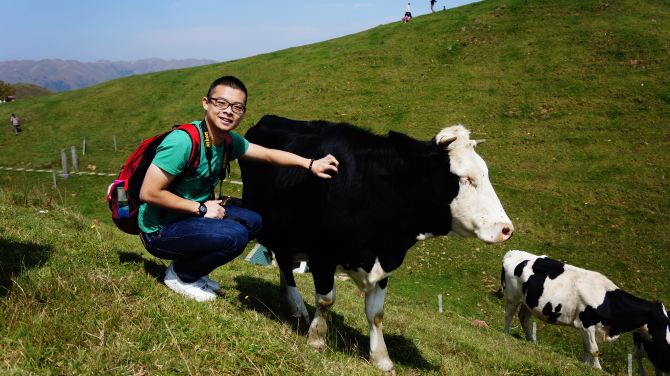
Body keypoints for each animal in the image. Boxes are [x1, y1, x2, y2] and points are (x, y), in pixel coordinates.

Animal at [242, 115, 516, 374]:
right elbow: (326, 300)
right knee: (284, 263)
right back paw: (297, 305)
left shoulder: (386, 261)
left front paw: (381, 358)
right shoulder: (322, 255)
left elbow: (376, 314)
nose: (506, 229)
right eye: (464, 178)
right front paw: (316, 339)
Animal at [502, 250, 668, 370]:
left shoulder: (588, 328)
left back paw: (531, 340)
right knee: (509, 314)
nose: (667, 342)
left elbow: (587, 348)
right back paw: (506, 334)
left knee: (524, 317)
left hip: (528, 302)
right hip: (512, 296)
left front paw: (585, 365)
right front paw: (598, 369)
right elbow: (594, 349)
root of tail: (512, 252)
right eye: (663, 321)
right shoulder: (587, 325)